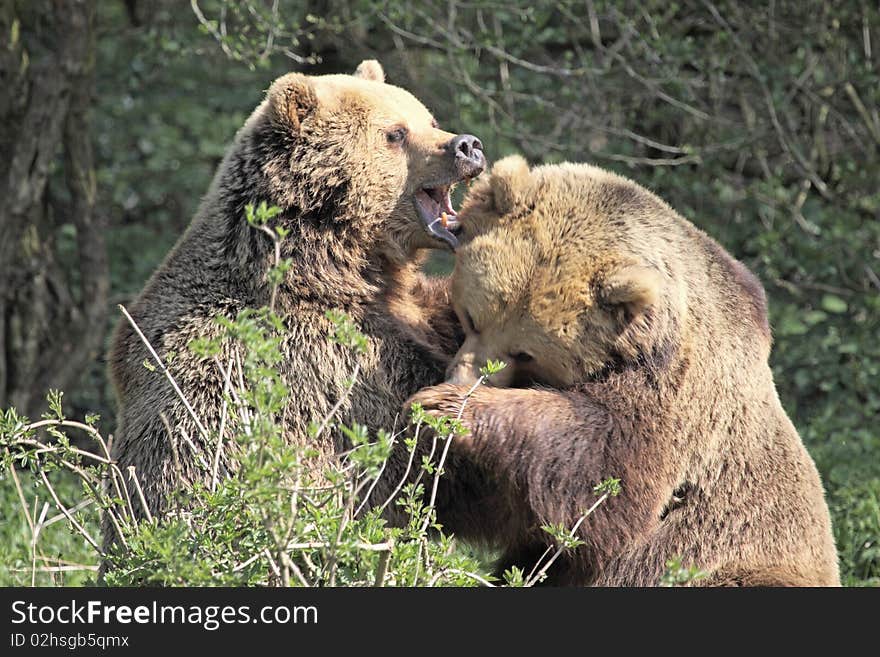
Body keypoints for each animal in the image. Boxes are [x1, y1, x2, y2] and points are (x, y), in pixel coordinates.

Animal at [410, 156, 840, 588]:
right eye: (472, 317)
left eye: (525, 353)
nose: (463, 378)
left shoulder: (675, 394)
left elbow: (606, 470)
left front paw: (447, 407)